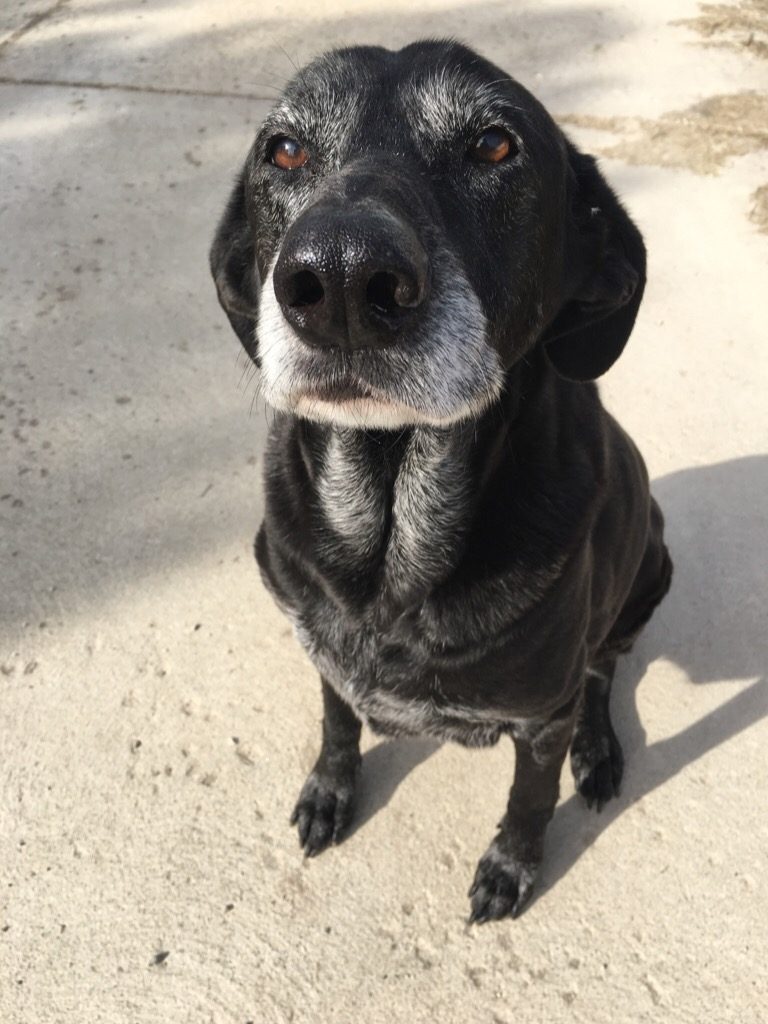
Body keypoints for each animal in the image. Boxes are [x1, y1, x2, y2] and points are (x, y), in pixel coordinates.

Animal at [210, 39, 671, 925]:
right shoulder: (320, 650)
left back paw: (599, 750)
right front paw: (329, 790)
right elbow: (336, 724)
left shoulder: (540, 720)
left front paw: (510, 866)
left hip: (652, 572)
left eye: (494, 145)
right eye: (284, 150)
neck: (391, 533)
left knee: (603, 671)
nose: (342, 279)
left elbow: (530, 799)